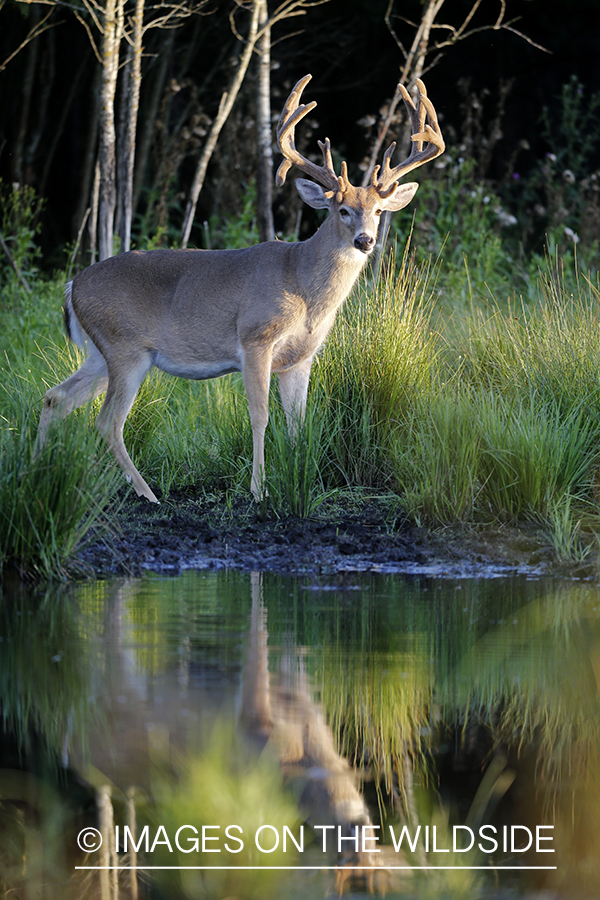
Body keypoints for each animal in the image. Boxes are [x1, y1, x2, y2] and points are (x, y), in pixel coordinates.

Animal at [35, 74, 442, 502]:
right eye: (342, 210)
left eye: (378, 211)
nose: (365, 239)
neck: (303, 286)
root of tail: (72, 285)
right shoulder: (255, 338)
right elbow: (260, 415)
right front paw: (258, 489)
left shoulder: (300, 358)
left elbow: (297, 423)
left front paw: (298, 479)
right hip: (125, 347)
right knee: (107, 421)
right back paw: (148, 494)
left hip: (101, 353)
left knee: (55, 397)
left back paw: (38, 471)